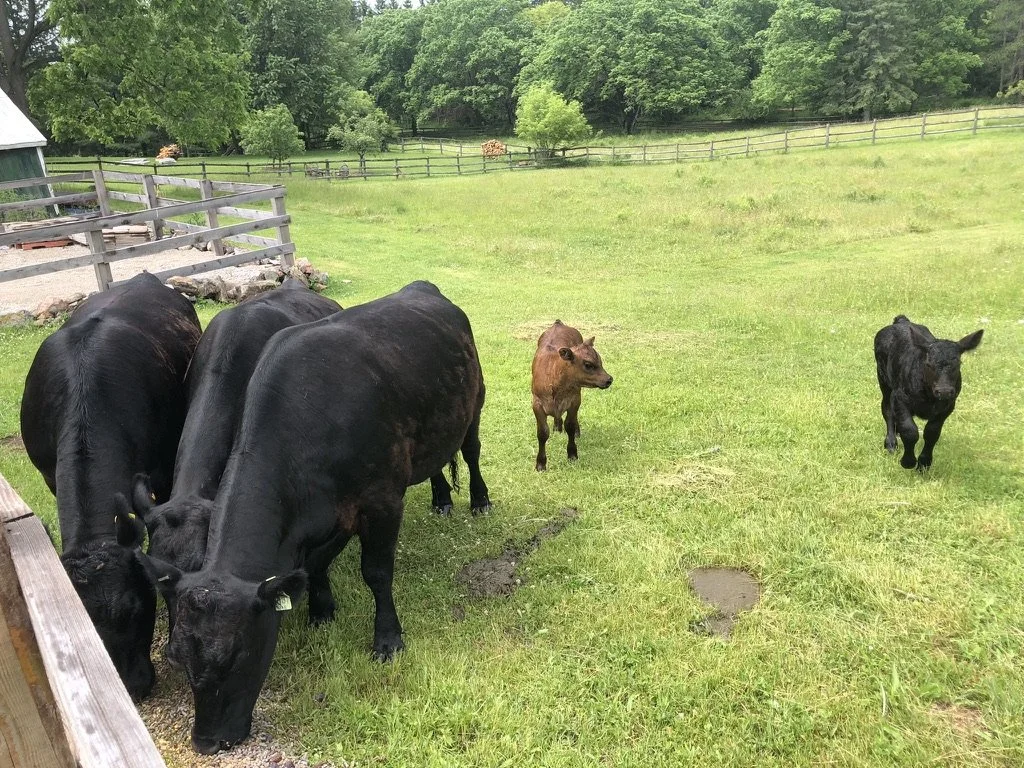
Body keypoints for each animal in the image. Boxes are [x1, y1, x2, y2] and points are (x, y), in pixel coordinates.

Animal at [531, 320, 613, 471]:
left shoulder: (574, 401)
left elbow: (570, 425)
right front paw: (541, 464)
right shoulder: (537, 403)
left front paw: (572, 454)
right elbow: (543, 433)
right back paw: (557, 427)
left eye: (600, 361)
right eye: (588, 364)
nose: (609, 379)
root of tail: (558, 323)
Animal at [873, 315, 984, 471]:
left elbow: (932, 433)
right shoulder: (899, 398)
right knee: (887, 410)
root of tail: (902, 321)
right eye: (928, 364)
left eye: (958, 364)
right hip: (884, 380)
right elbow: (910, 430)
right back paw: (891, 443)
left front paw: (924, 463)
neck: (929, 396)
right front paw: (908, 461)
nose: (944, 391)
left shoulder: (948, 406)